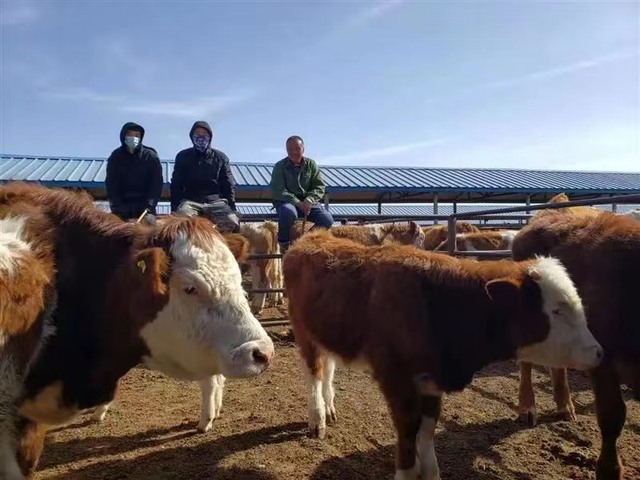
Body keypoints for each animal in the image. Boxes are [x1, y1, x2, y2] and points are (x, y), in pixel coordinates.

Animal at [282, 231, 604, 478]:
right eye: (557, 311)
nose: (599, 352)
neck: (435, 304)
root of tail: (311, 237)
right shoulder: (397, 381)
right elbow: (408, 436)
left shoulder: (431, 381)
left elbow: (427, 433)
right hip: (303, 331)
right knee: (314, 372)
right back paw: (317, 417)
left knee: (328, 367)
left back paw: (329, 407)